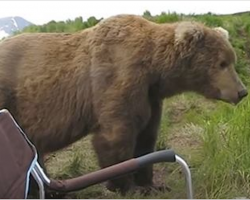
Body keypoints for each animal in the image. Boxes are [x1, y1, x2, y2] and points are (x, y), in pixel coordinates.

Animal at [0, 14, 247, 195]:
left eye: (231, 60)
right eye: (222, 63)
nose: (242, 91)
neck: (155, 69)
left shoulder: (150, 96)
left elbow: (147, 136)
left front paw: (151, 184)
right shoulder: (118, 77)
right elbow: (116, 135)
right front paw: (123, 185)